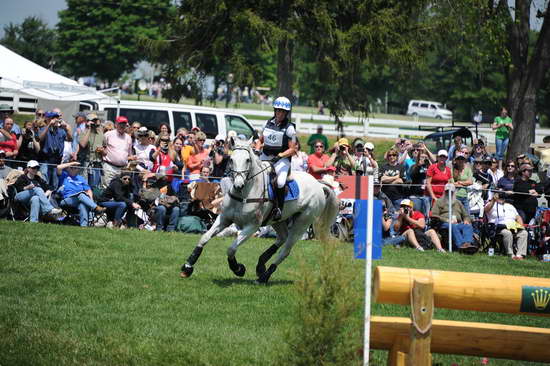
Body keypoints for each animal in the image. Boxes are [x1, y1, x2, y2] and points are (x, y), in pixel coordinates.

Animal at [181, 137, 340, 284]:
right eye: (231, 159)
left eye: (247, 160)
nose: (238, 185)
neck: (244, 193)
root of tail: (319, 185)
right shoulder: (224, 218)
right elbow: (204, 238)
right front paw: (187, 267)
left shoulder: (251, 226)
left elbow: (231, 249)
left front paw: (238, 269)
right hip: (278, 220)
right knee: (282, 237)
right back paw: (261, 265)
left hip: (302, 223)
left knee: (285, 250)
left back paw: (264, 276)